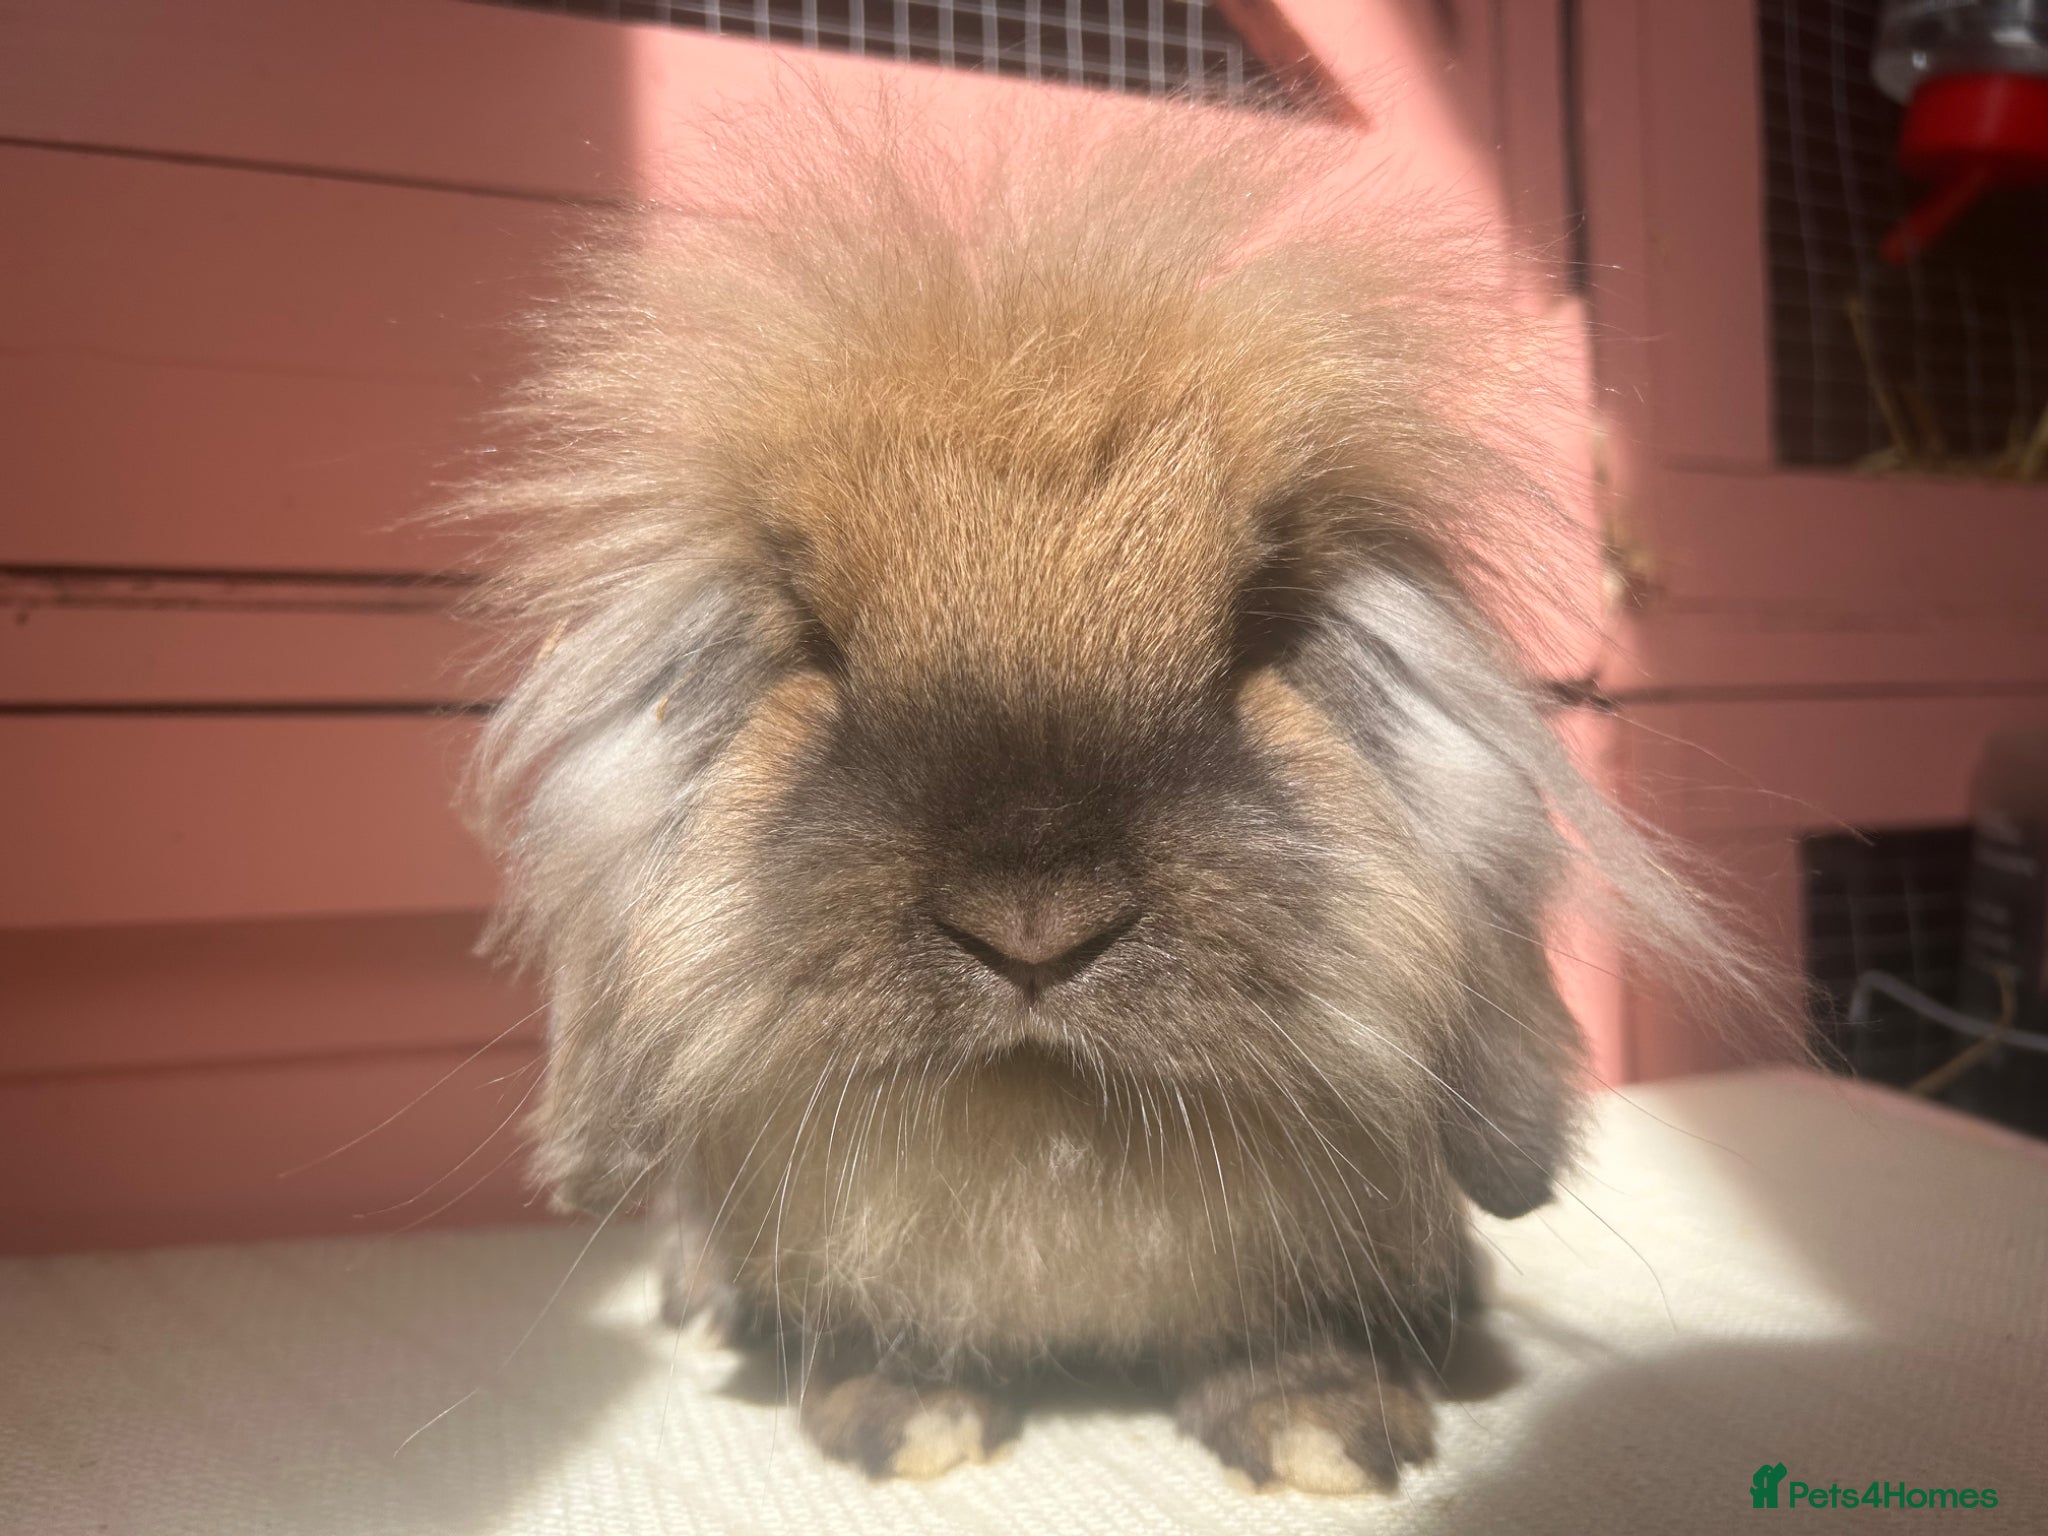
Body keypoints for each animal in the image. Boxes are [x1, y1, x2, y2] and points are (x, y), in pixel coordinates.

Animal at [456, 100, 1760, 1495]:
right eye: (815, 647)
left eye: (1255, 638)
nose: (1032, 925)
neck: (1049, 1137)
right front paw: (904, 1421)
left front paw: (1326, 1437)